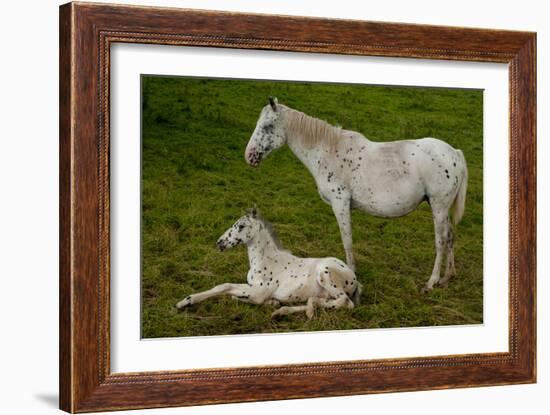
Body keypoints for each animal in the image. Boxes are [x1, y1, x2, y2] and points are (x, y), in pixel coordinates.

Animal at [175, 210, 362, 320]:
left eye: (241, 226)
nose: (219, 243)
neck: (265, 260)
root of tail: (354, 278)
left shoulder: (258, 291)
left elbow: (226, 288)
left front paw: (185, 302)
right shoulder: (252, 287)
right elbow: (227, 289)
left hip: (325, 273)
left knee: (345, 302)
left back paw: (306, 309)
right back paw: (283, 310)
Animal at [246, 97, 470, 294]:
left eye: (267, 126)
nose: (249, 156)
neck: (328, 151)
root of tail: (455, 153)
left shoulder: (340, 203)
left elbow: (347, 239)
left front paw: (351, 272)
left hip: (439, 206)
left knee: (441, 241)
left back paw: (431, 282)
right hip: (441, 208)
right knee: (450, 236)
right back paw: (447, 277)